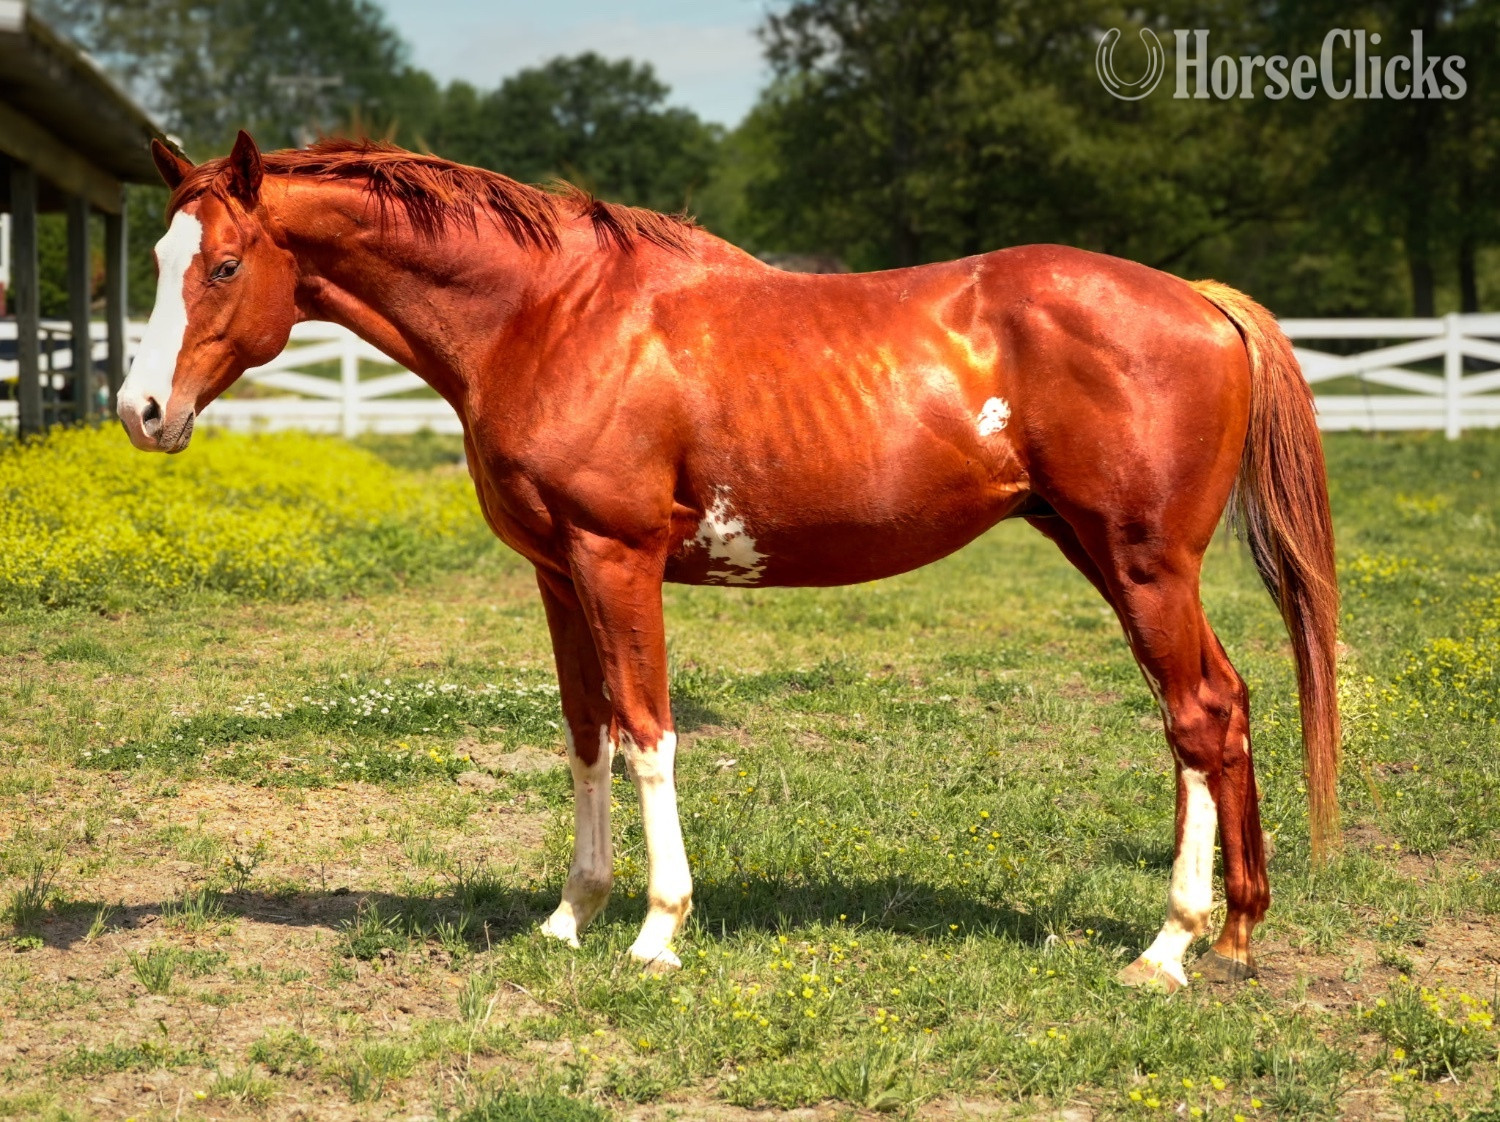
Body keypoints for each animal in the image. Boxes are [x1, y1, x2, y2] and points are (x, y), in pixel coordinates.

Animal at [118, 131, 1340, 990]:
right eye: (158, 259)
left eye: (223, 264)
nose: (140, 412)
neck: (547, 315)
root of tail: (1202, 305)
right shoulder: (557, 573)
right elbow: (586, 736)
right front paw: (570, 915)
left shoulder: (617, 561)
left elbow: (648, 734)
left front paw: (658, 931)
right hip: (1112, 557)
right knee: (1219, 704)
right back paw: (1235, 931)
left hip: (1144, 566)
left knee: (1196, 716)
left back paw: (1169, 948)